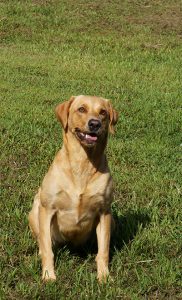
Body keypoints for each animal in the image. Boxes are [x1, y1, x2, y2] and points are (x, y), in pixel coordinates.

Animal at [28, 94, 118, 282]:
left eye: (103, 112)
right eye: (81, 109)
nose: (95, 124)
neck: (82, 163)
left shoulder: (104, 211)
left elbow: (103, 250)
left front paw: (104, 277)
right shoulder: (47, 209)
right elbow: (47, 249)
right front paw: (48, 275)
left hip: (111, 221)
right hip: (35, 210)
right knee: (42, 241)